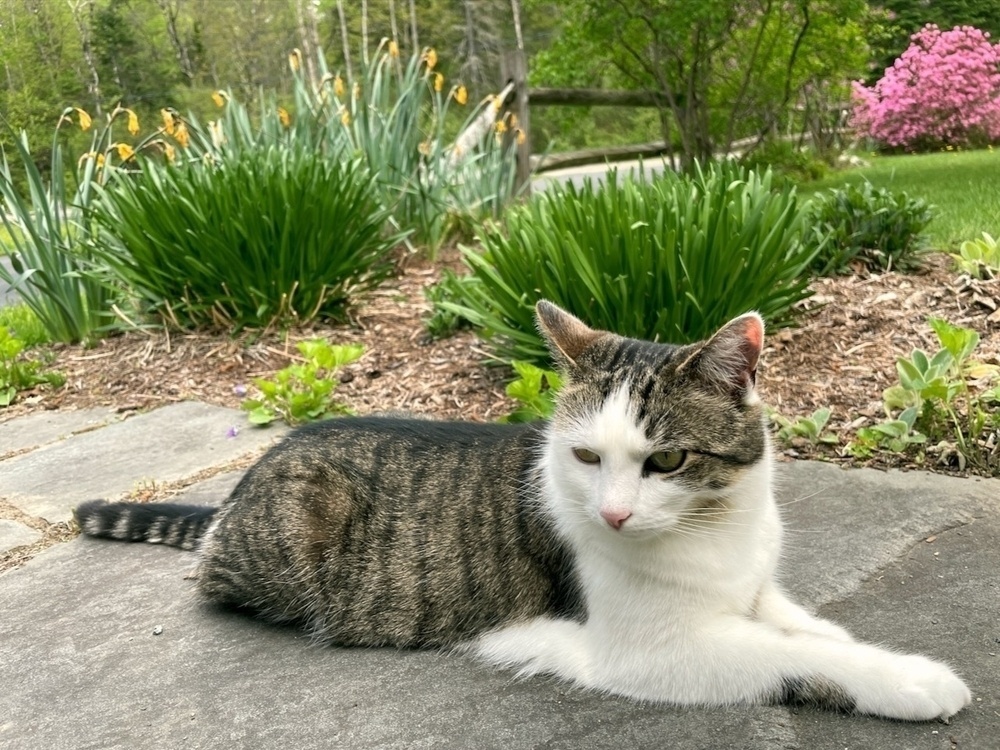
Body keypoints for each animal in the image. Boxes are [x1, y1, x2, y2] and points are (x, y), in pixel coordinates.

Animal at [76, 300, 968, 724]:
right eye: (586, 458)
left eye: (667, 461)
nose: (614, 517)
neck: (717, 530)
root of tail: (248, 478)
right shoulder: (646, 651)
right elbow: (796, 657)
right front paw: (914, 679)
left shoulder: (755, 592)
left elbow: (813, 630)